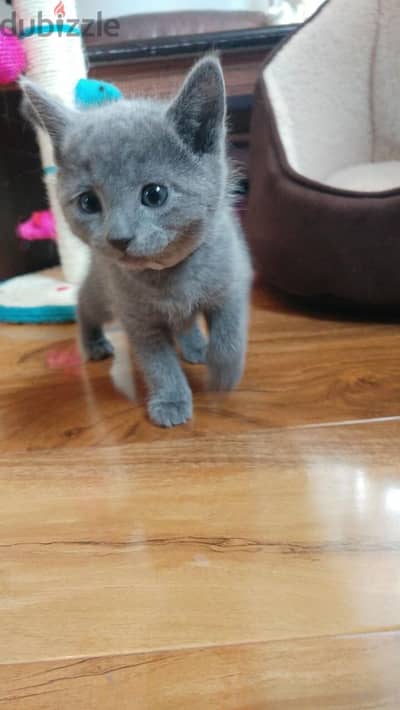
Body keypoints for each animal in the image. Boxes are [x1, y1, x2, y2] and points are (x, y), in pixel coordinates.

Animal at [21, 57, 250, 428]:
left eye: (154, 194)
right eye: (88, 202)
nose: (119, 238)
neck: (168, 275)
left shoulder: (231, 286)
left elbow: (230, 339)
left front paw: (222, 377)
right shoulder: (137, 318)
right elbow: (158, 363)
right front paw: (171, 401)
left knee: (185, 322)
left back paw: (195, 347)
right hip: (102, 290)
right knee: (84, 304)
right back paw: (94, 344)